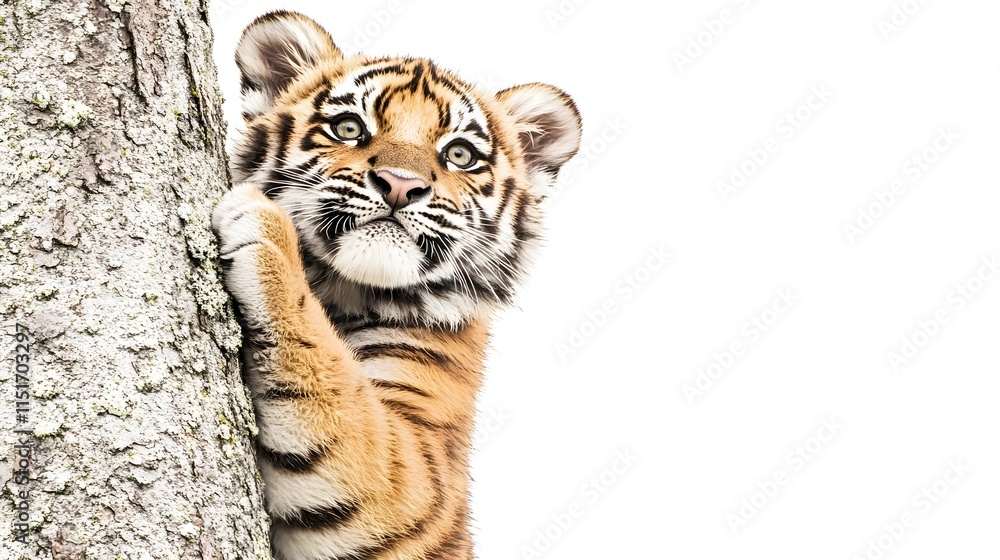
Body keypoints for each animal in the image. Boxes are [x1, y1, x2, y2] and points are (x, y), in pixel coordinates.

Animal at [211, 11, 582, 559]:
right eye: (348, 128)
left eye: (460, 155)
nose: (401, 184)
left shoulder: (422, 476)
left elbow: (337, 389)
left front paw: (264, 228)